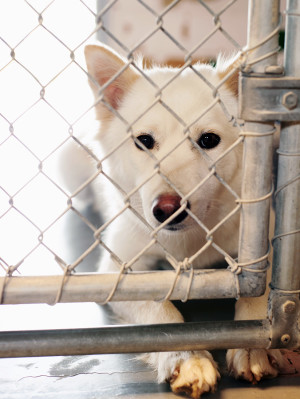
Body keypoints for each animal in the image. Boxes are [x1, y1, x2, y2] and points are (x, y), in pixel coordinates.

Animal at [68, 44, 284, 399]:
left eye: (208, 140)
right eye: (144, 141)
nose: (167, 210)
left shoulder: (263, 253)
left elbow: (258, 294)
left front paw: (254, 348)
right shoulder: (120, 272)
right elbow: (161, 314)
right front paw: (187, 356)